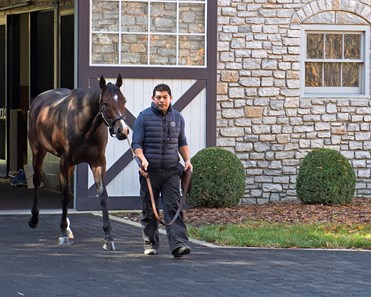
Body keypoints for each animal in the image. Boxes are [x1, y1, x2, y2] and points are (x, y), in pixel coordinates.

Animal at [28, 74, 129, 250]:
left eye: (124, 101)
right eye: (105, 103)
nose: (122, 131)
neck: (82, 121)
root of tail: (39, 100)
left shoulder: (98, 162)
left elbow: (102, 195)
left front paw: (108, 238)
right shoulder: (65, 161)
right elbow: (65, 195)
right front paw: (62, 233)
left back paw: (68, 228)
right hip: (38, 151)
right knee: (37, 179)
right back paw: (34, 219)